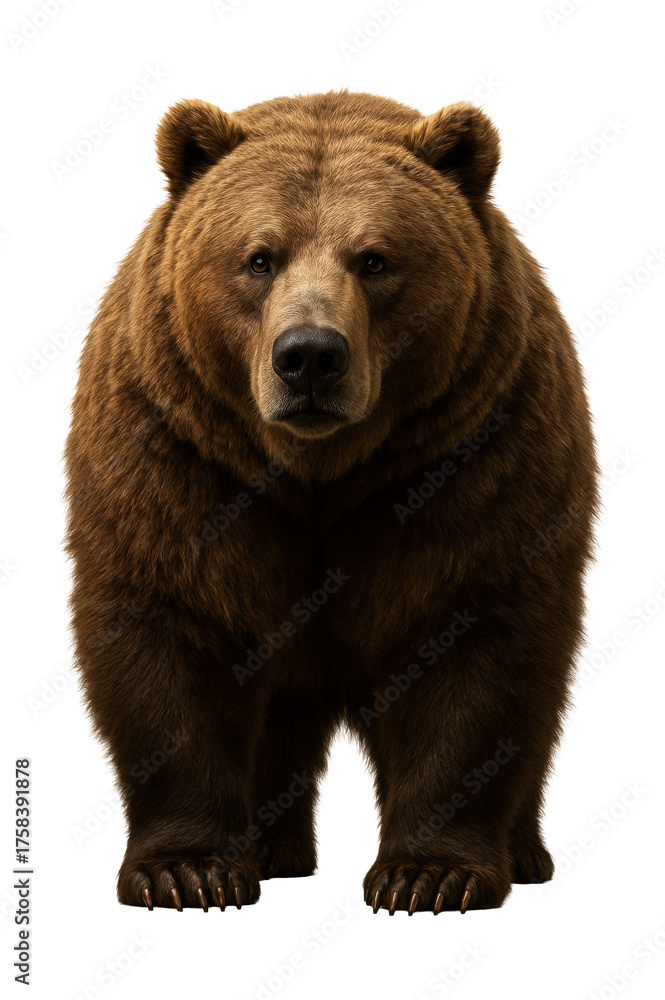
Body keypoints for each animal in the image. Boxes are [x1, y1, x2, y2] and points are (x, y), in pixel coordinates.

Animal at [64, 90, 598, 915]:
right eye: (259, 256)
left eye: (374, 258)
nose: (310, 355)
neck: (317, 469)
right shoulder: (178, 457)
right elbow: (168, 633)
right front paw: (186, 871)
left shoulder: (471, 459)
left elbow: (472, 644)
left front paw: (428, 874)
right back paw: (271, 850)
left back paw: (524, 853)